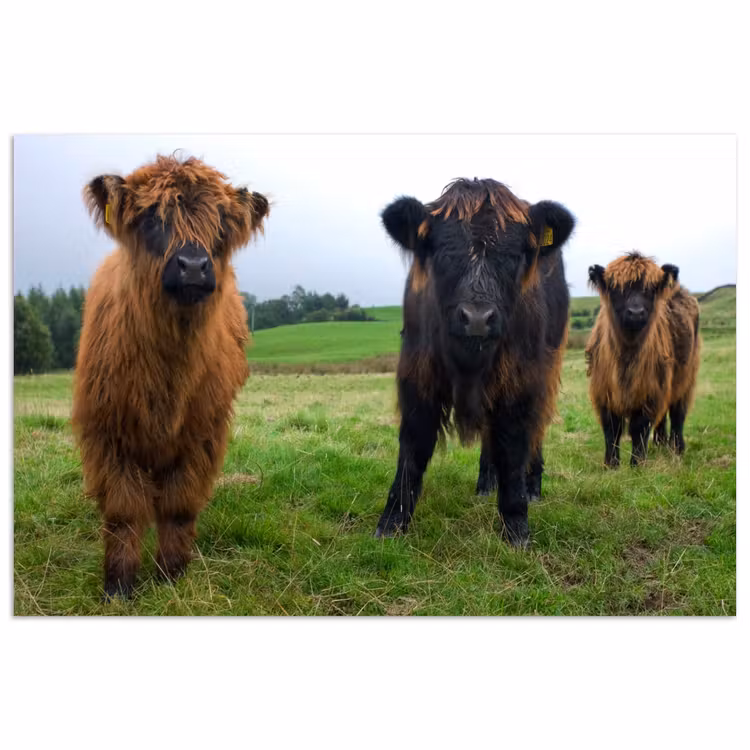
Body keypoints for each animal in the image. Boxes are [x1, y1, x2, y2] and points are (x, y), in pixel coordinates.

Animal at [72, 155, 269, 598]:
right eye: (151, 218)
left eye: (220, 223)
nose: (194, 266)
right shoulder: (107, 434)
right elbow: (123, 511)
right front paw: (119, 584)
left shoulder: (202, 436)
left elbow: (179, 506)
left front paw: (171, 574)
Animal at [375, 178, 575, 547]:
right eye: (442, 251)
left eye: (514, 255)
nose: (478, 318)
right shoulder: (417, 375)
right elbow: (413, 447)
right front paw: (391, 523)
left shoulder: (520, 381)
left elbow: (513, 447)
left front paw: (516, 528)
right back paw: (485, 482)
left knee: (535, 429)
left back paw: (533, 486)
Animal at [586, 251, 701, 467]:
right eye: (617, 288)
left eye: (650, 289)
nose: (636, 312)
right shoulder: (603, 390)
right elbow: (611, 428)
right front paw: (611, 464)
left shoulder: (649, 390)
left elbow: (639, 427)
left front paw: (637, 463)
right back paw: (661, 443)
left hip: (686, 376)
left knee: (678, 413)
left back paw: (677, 448)